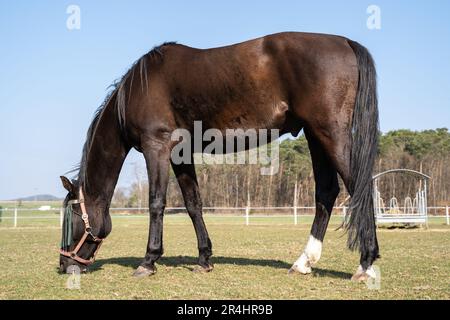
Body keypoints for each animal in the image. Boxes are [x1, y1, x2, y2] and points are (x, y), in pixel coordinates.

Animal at [58, 31, 378, 280]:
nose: (64, 264)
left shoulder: (156, 147)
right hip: (315, 134)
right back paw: (303, 263)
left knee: (359, 188)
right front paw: (204, 259)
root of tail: (345, 42)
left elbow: (156, 203)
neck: (137, 89)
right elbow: (193, 204)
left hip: (330, 133)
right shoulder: (180, 154)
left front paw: (148, 261)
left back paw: (366, 265)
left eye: (71, 215)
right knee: (327, 192)